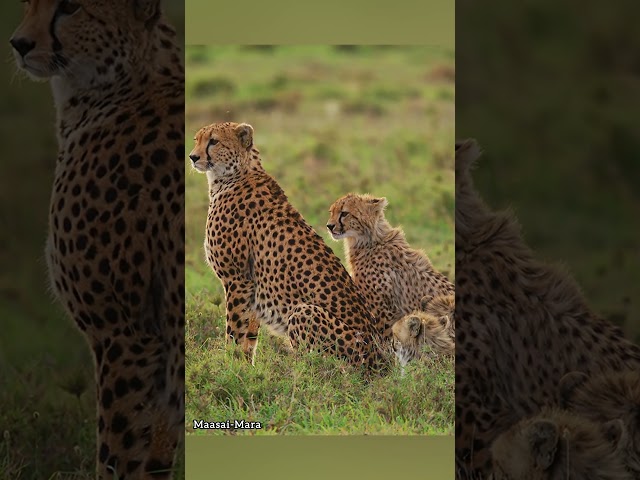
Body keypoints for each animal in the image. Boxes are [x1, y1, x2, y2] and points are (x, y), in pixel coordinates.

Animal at [188, 122, 388, 373]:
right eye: (196, 139)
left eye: (214, 141)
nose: (193, 157)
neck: (234, 174)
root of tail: (382, 361)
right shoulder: (251, 286)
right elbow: (249, 336)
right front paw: (245, 370)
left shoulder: (237, 279)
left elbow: (233, 332)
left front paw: (228, 368)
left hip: (304, 312)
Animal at [326, 193, 454, 340]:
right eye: (331, 212)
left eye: (344, 213)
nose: (329, 226)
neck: (370, 241)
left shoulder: (385, 309)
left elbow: (384, 336)